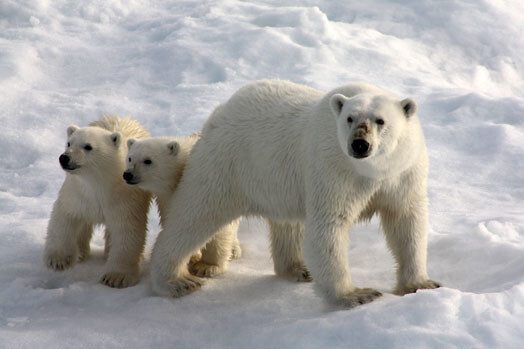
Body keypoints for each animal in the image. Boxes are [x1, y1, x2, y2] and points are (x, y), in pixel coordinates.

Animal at [152, 79, 442, 304]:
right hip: (228, 164)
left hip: (275, 180)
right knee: (196, 214)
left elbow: (406, 221)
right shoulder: (333, 169)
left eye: (380, 120)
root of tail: (220, 111)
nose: (359, 144)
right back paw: (176, 281)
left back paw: (297, 268)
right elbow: (329, 227)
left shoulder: (403, 172)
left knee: (287, 223)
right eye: (349, 119)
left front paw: (422, 284)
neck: (372, 171)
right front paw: (356, 295)